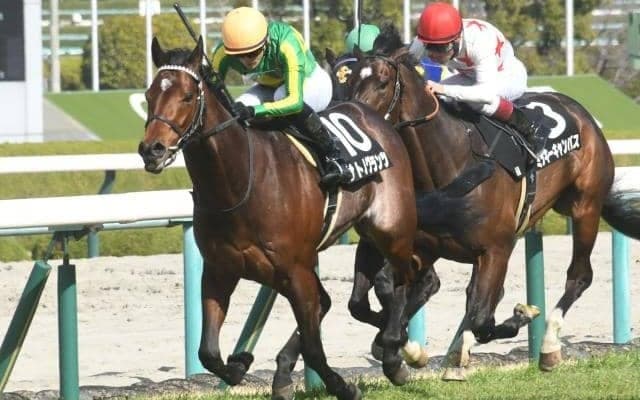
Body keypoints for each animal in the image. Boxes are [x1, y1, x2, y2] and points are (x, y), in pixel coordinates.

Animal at [138, 36, 421, 400]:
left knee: (409, 275)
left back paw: (395, 351)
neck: (238, 183)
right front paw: (240, 363)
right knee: (334, 299)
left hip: (391, 228)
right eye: (149, 95)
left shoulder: (296, 269)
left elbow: (314, 347)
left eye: (187, 95)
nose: (152, 149)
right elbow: (209, 353)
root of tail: (374, 115)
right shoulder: (220, 269)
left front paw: (343, 386)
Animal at [342, 25, 640, 380]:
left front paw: (519, 318)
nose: (354, 122)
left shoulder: (497, 249)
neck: (451, 165)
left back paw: (548, 345)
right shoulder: (422, 243)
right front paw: (400, 343)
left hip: (585, 207)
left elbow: (483, 316)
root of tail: (583, 116)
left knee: (579, 276)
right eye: (349, 80)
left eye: (383, 82)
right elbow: (384, 291)